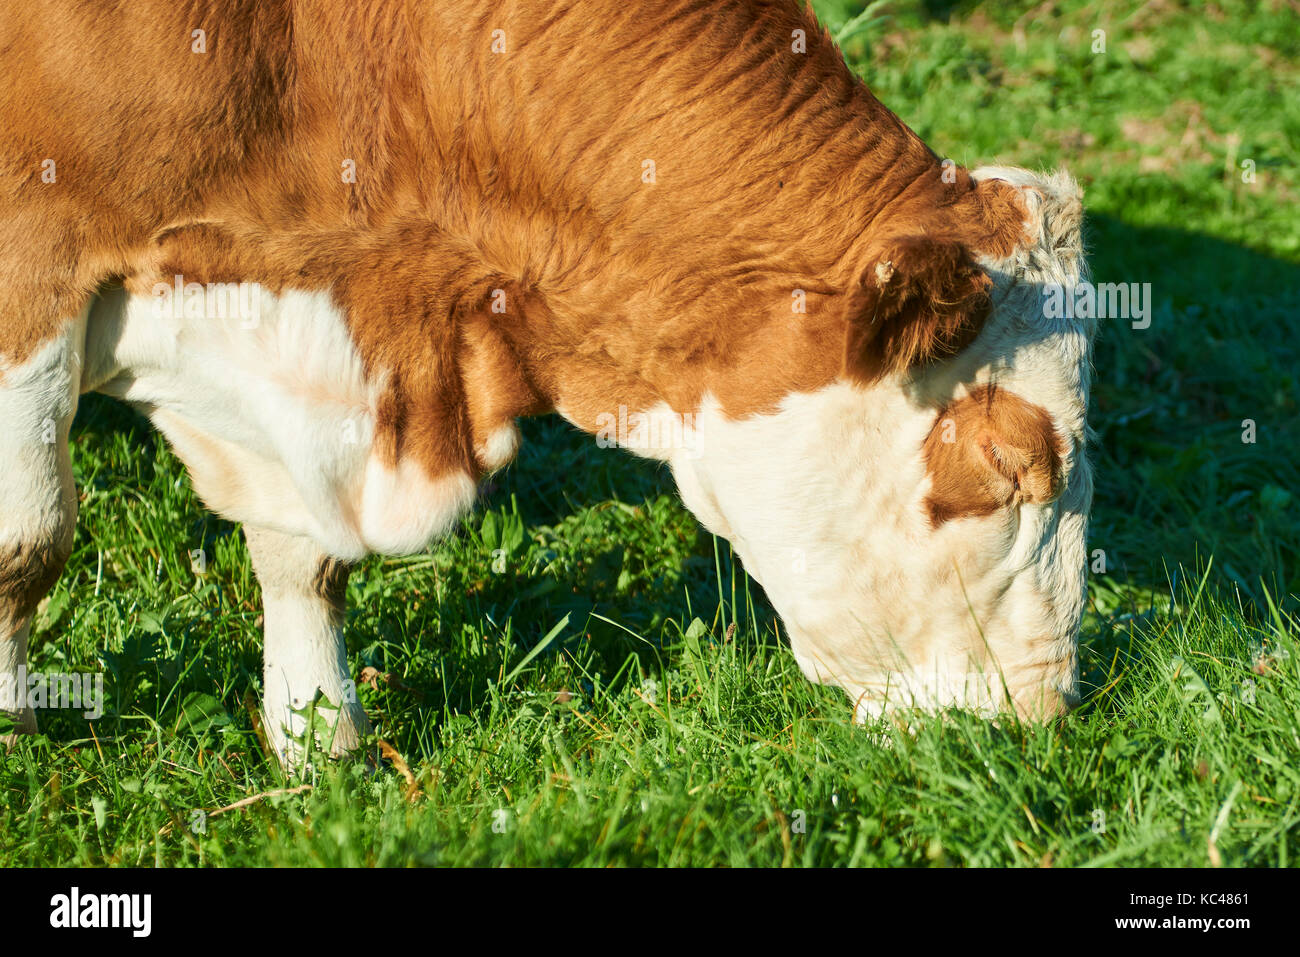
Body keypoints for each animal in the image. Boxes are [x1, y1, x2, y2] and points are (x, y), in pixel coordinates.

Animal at [0, 0, 1093, 767]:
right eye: (1007, 467)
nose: (1042, 719)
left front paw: (319, 738)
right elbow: (30, 538)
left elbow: (302, 555)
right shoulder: (32, 251)